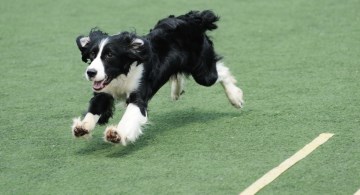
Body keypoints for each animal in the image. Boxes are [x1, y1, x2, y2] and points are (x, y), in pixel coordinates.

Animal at [71, 10, 243, 145]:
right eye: (92, 54)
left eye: (109, 55)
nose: (90, 72)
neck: (121, 75)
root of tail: (191, 19)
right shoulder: (104, 91)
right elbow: (95, 108)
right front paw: (82, 127)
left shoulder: (138, 94)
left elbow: (131, 114)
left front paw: (116, 134)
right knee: (178, 73)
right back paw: (176, 91)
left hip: (203, 73)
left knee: (219, 72)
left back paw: (235, 98)